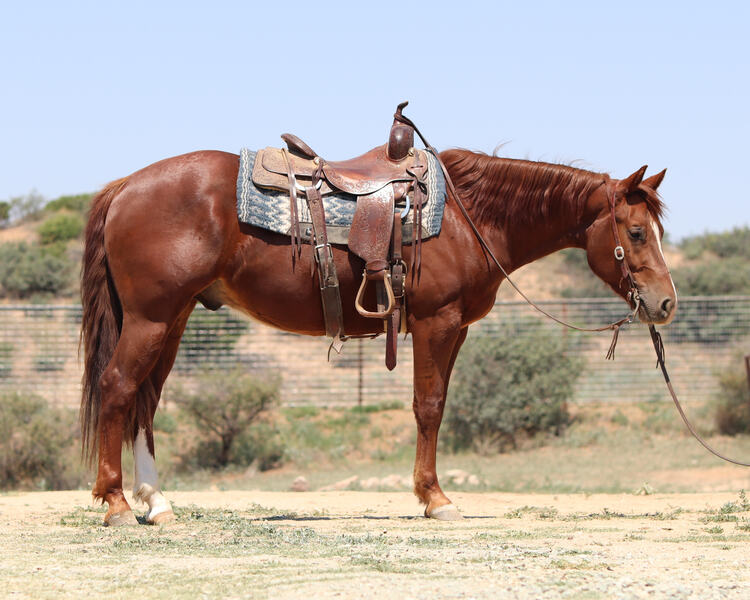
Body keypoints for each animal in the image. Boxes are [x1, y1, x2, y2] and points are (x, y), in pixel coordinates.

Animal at [80, 145, 677, 526]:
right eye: (636, 232)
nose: (666, 303)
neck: (470, 216)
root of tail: (125, 187)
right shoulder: (438, 322)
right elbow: (428, 406)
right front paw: (436, 499)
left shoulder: (455, 329)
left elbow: (436, 405)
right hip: (152, 319)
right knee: (118, 388)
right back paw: (116, 504)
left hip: (173, 318)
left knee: (145, 401)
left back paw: (157, 503)